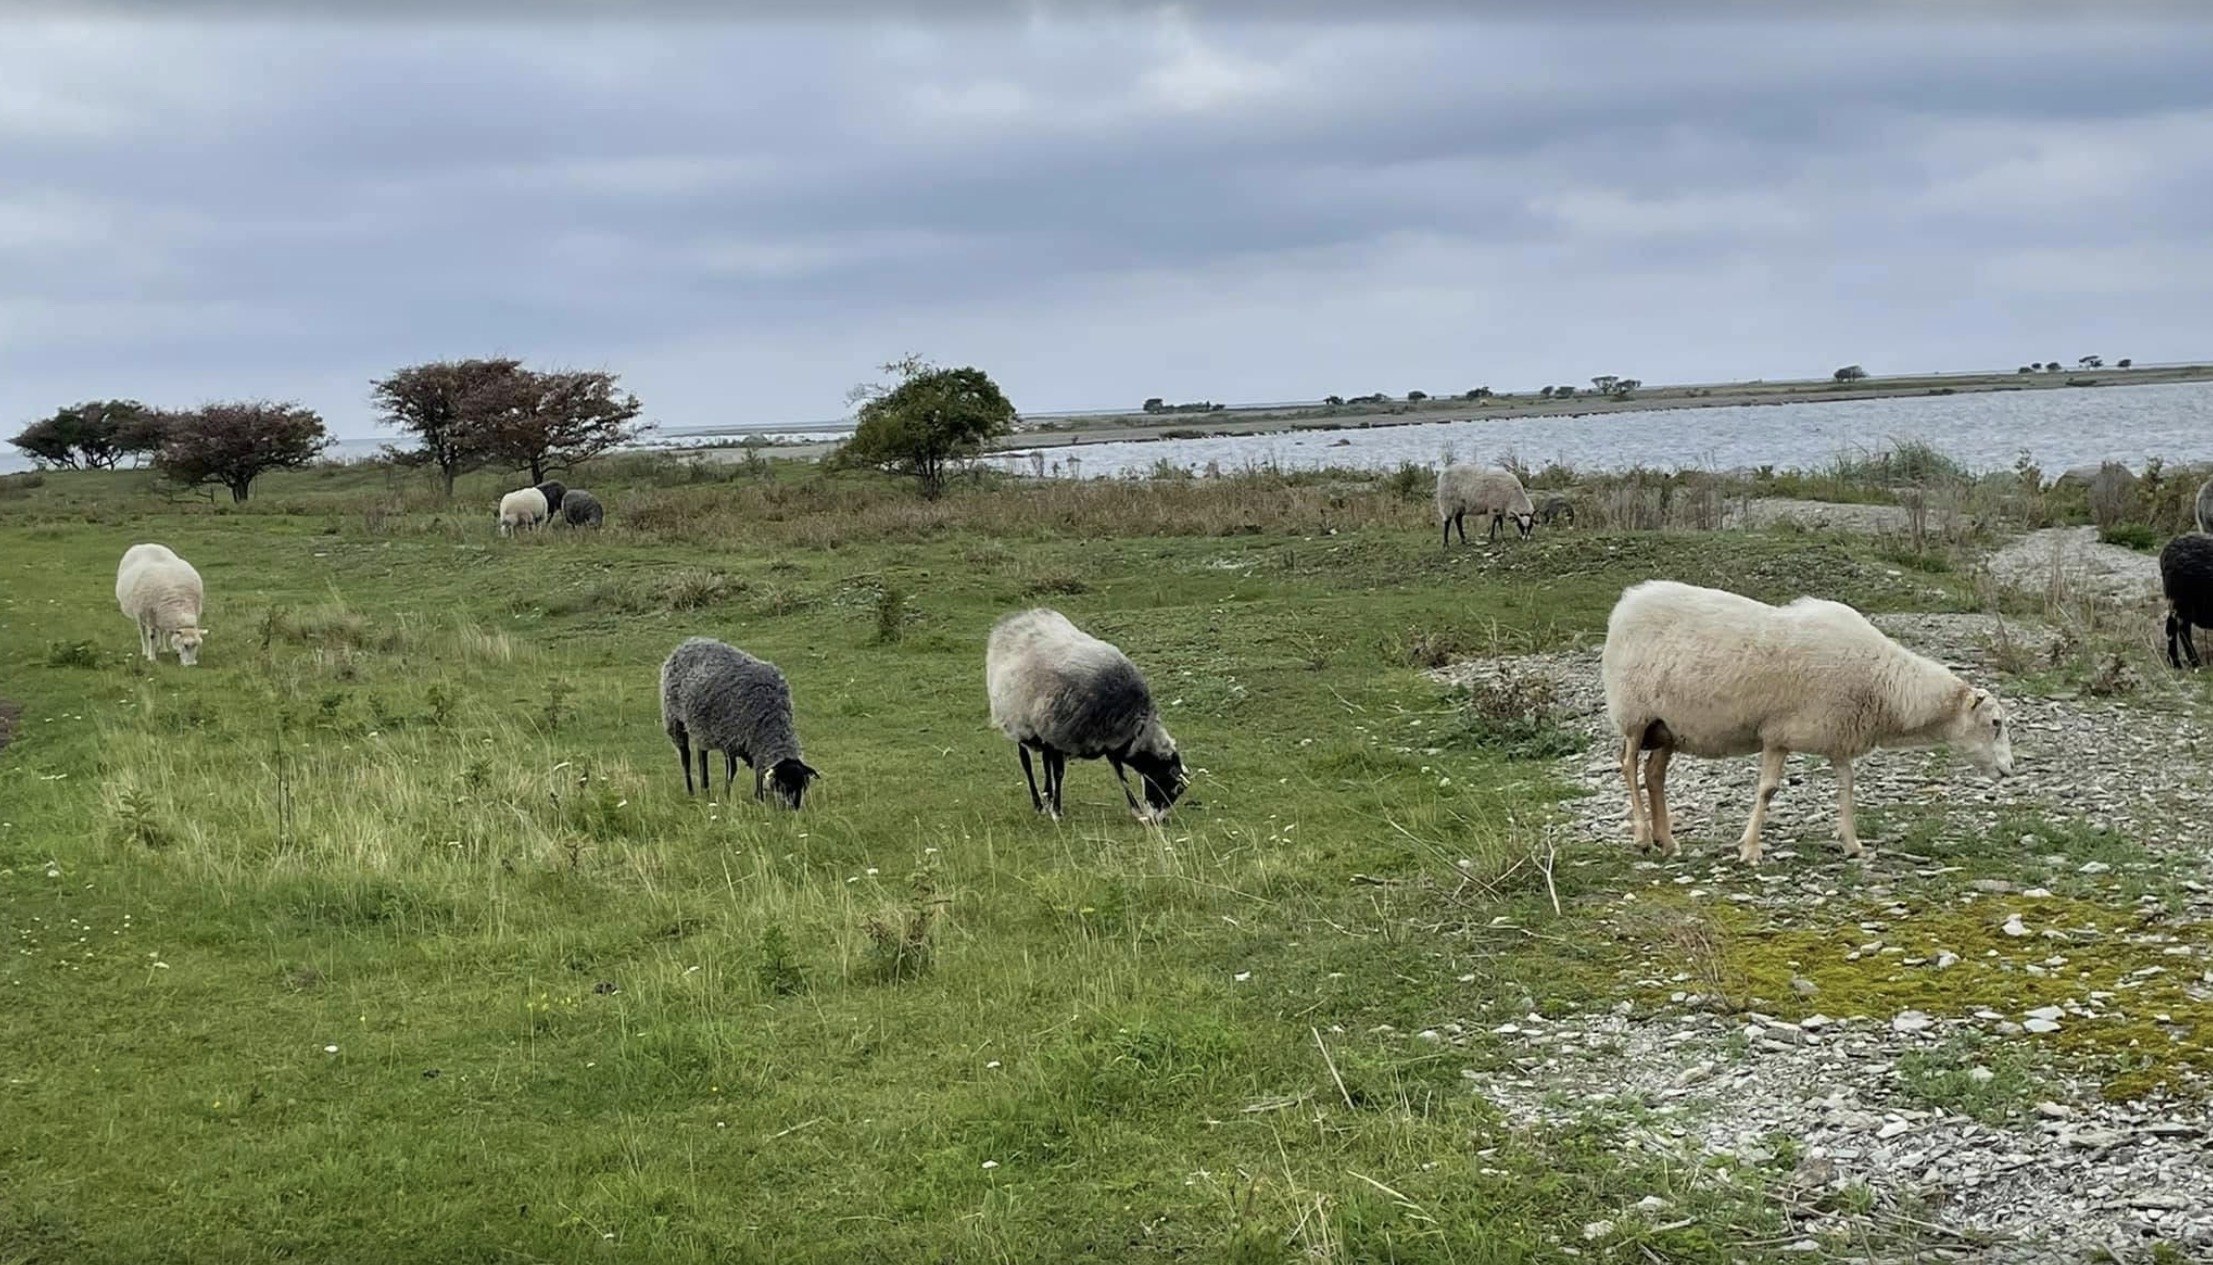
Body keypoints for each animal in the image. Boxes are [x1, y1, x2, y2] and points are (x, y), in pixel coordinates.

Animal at [659, 637, 818, 807]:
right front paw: (727, 796)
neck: (769, 718)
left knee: (702, 754)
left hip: (701, 727)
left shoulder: (750, 743)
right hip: (674, 720)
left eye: (804, 786)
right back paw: (692, 792)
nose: (795, 808)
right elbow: (733, 770)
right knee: (686, 758)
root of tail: (690, 642)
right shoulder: (732, 739)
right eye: (785, 784)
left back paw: (705, 790)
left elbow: (757, 771)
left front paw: (759, 798)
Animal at [986, 608, 1187, 822]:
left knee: (1046, 762)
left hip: (1043, 728)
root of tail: (1019, 616)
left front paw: (1136, 810)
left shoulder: (1111, 742)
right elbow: (1059, 772)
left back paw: (1047, 796)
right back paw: (1039, 804)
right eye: (1175, 787)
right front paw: (1057, 811)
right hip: (1019, 723)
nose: (1160, 821)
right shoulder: (1061, 736)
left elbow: (1120, 774)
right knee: (1027, 764)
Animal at [1600, 580, 2012, 865]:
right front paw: (1750, 848)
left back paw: (1667, 841)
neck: (1883, 683)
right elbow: (1767, 790)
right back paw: (1642, 836)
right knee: (1628, 766)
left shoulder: (1837, 736)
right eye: (1995, 722)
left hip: (1667, 727)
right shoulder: (1779, 734)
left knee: (1654, 774)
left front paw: (1853, 844)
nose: (2009, 770)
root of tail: (1628, 600)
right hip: (1635, 715)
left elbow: (1847, 785)